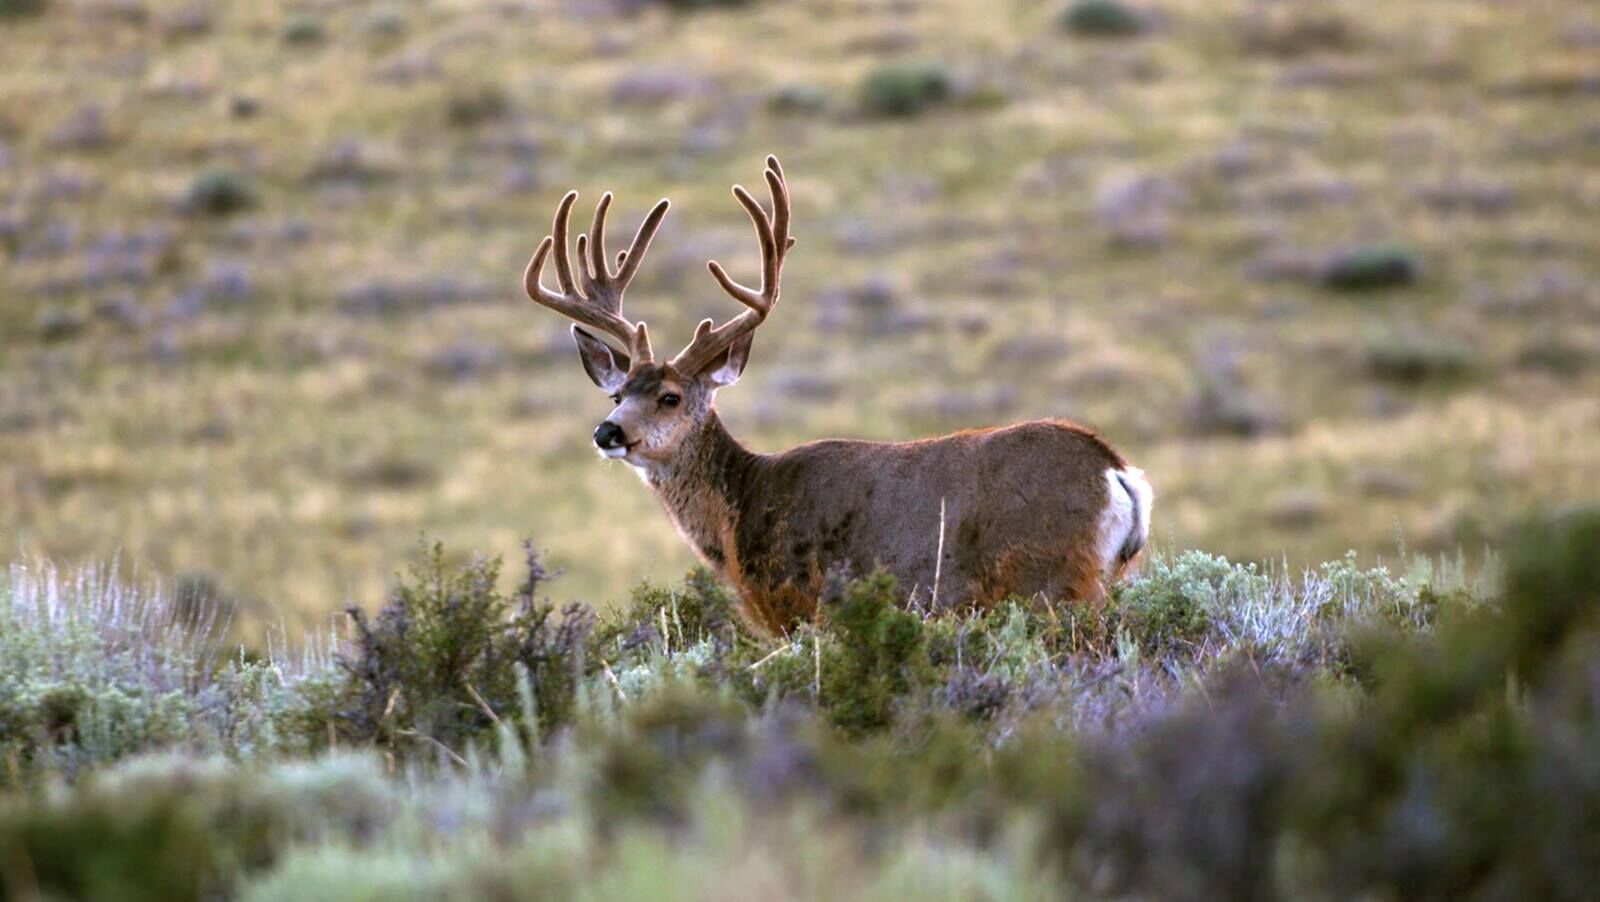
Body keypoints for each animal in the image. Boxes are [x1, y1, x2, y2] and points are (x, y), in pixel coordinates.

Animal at [524, 156, 1152, 633]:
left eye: (671, 397)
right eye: (617, 396)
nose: (608, 432)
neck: (740, 511)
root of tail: (1116, 472)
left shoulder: (801, 611)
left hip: (1048, 580)